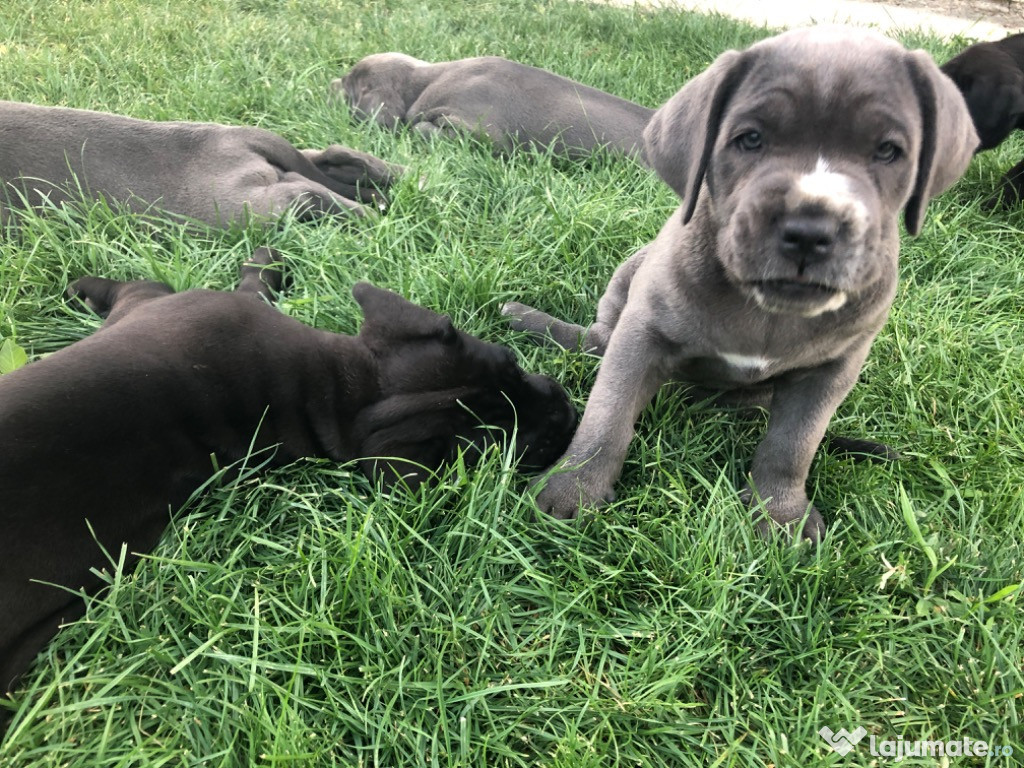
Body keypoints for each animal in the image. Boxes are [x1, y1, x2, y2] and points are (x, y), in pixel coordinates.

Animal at [0, 99, 405, 225]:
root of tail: (233, 136)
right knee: (326, 159)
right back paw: (389, 179)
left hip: (230, 209)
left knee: (302, 190)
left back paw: (366, 216)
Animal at [501, 28, 974, 540]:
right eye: (750, 139)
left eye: (888, 151)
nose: (809, 229)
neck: (767, 312)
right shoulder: (643, 332)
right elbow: (608, 413)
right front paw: (572, 489)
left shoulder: (832, 369)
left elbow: (794, 443)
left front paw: (781, 514)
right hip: (628, 276)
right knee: (597, 342)